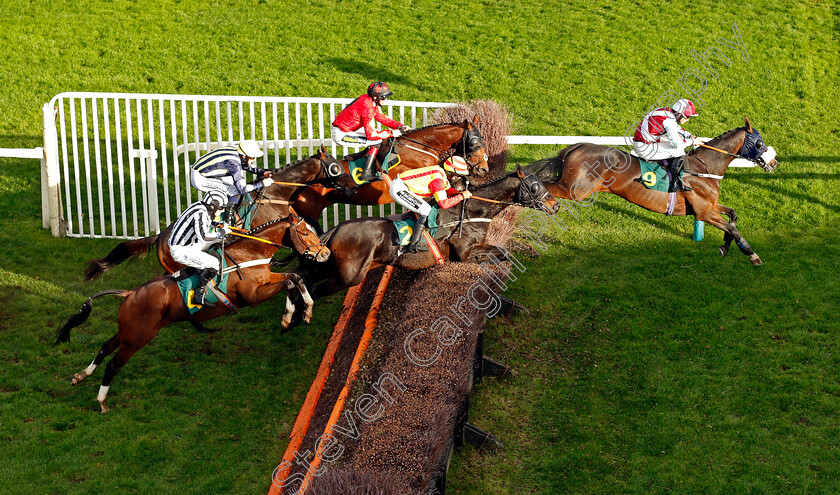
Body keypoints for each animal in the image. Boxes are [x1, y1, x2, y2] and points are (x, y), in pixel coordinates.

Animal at [57, 211, 326, 412]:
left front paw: (298, 314)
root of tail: (130, 293)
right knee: (113, 364)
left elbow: (294, 278)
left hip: (128, 332)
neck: (249, 253)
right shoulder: (252, 296)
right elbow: (290, 281)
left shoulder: (268, 279)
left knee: (104, 348)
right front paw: (294, 314)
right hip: (138, 337)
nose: (324, 253)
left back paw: (81, 376)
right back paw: (101, 401)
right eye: (304, 232)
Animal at [286, 165, 560, 320]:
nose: (555, 205)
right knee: (313, 290)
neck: (473, 211)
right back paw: (301, 315)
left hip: (329, 265)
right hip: (348, 276)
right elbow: (498, 253)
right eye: (535, 186)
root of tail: (334, 230)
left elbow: (501, 252)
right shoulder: (464, 253)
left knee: (297, 277)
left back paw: (288, 316)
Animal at [528, 118, 776, 266]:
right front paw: (752, 255)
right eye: (760, 143)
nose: (773, 163)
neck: (705, 168)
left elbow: (733, 216)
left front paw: (725, 247)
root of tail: (575, 146)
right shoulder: (704, 212)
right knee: (545, 186)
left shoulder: (711, 206)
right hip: (574, 190)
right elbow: (733, 228)